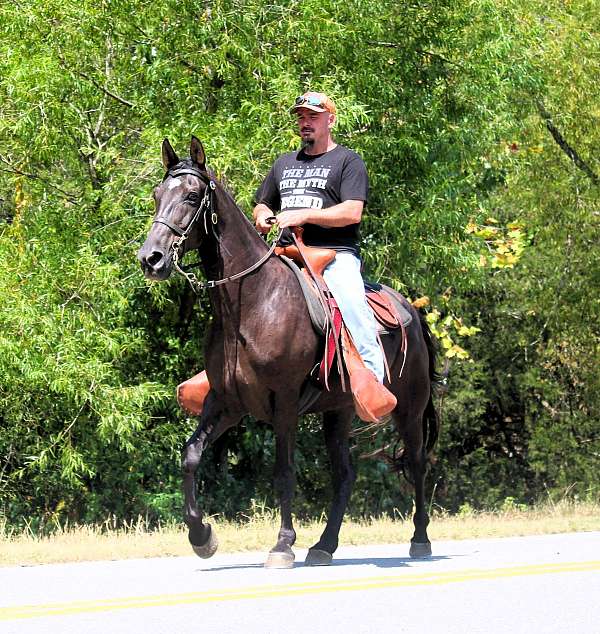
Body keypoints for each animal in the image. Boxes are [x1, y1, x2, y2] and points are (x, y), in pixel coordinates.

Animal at [138, 136, 438, 564]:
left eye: (193, 196)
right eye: (157, 194)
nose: (151, 258)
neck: (252, 304)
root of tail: (412, 308)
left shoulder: (284, 401)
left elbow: (283, 471)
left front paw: (282, 544)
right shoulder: (226, 401)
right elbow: (191, 455)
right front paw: (202, 536)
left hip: (410, 408)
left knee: (416, 463)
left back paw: (420, 539)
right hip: (339, 411)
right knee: (345, 474)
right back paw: (324, 545)